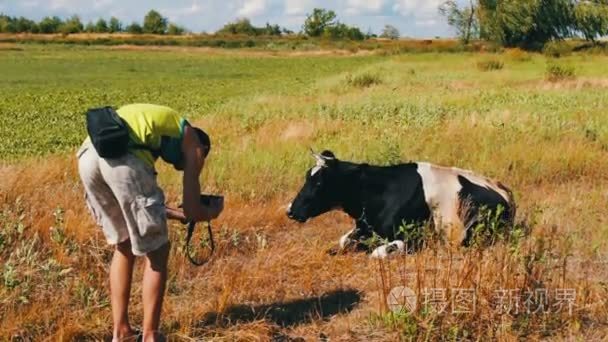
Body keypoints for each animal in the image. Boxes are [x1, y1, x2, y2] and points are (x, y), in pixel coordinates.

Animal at [288, 151, 516, 258]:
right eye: (306, 177)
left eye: (319, 183)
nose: (290, 211)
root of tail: (502, 188)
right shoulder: (364, 227)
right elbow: (343, 240)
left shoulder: (413, 238)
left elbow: (377, 253)